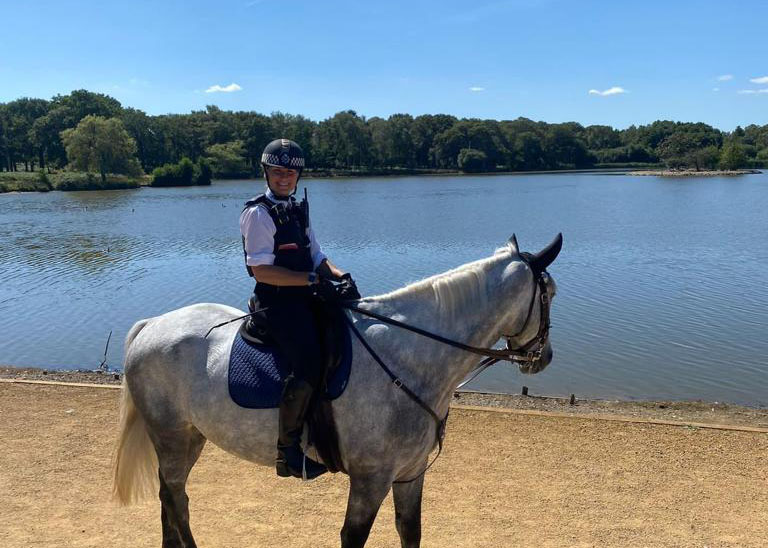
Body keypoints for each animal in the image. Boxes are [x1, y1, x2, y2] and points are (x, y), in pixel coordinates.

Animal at [111, 233, 560, 544]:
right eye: (550, 294)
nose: (544, 357)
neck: (409, 354)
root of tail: (152, 324)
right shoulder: (371, 479)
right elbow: (353, 537)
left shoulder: (410, 474)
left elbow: (410, 531)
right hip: (170, 437)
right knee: (176, 500)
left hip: (190, 437)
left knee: (170, 496)